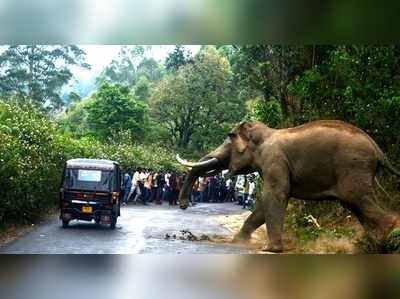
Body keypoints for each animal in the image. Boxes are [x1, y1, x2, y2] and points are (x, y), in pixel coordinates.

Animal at [177, 120, 400, 253]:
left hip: (353, 167)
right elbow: (263, 204)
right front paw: (237, 242)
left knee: (358, 200)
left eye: (228, 139)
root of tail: (378, 150)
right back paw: (373, 241)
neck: (265, 133)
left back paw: (386, 236)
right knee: (356, 205)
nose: (183, 205)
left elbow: (274, 195)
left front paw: (270, 249)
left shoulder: (274, 159)